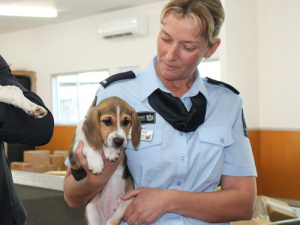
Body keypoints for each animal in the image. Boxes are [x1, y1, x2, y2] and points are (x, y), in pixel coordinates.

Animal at [68, 96, 141, 225]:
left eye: (126, 122)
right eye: (107, 121)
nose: (119, 141)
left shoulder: (123, 155)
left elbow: (104, 144)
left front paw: (111, 151)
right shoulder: (74, 155)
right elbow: (88, 145)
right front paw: (96, 163)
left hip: (127, 200)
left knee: (112, 221)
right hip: (90, 210)